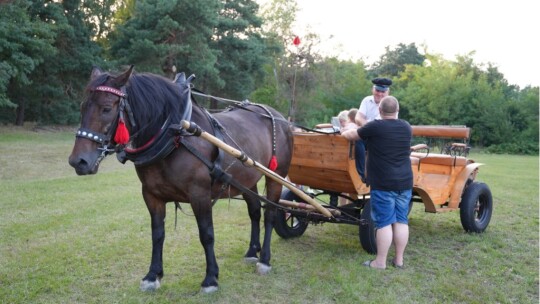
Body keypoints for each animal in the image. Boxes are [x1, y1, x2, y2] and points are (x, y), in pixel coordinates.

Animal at [70, 66, 296, 292]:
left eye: (106, 108)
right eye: (82, 107)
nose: (78, 161)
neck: (174, 134)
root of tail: (281, 119)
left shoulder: (200, 194)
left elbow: (206, 234)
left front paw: (210, 278)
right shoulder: (151, 195)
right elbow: (157, 234)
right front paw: (152, 275)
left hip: (276, 176)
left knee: (270, 214)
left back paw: (264, 259)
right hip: (247, 180)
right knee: (255, 212)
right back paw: (251, 251)